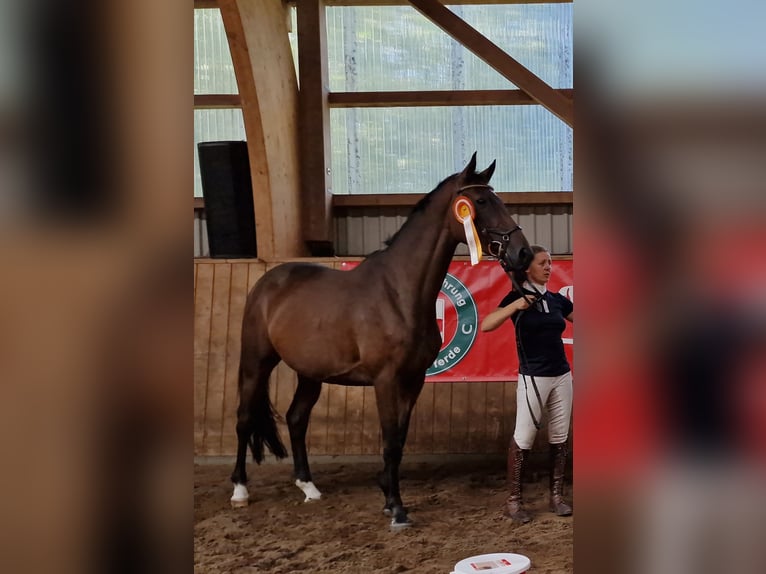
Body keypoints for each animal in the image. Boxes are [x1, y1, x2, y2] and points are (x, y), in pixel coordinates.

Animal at [231, 154, 532, 532]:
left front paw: (389, 498)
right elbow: (389, 441)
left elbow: (399, 440)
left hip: (310, 374)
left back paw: (308, 486)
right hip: (256, 362)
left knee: (297, 418)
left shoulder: (413, 380)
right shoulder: (385, 380)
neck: (399, 292)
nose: (522, 253)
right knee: (244, 418)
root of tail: (267, 282)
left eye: (498, 199)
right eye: (480, 201)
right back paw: (240, 490)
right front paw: (397, 509)